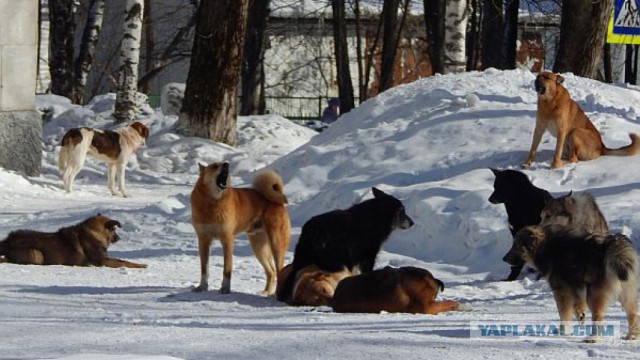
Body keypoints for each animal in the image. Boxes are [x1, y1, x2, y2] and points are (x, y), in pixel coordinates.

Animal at [0, 214, 146, 268]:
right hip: (36, 254)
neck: (95, 232)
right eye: (114, 230)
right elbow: (124, 262)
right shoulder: (103, 260)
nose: (119, 238)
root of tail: (8, 240)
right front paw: (141, 265)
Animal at [190, 162, 290, 294]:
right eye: (214, 166)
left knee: (279, 270)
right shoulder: (203, 240)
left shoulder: (227, 240)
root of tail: (277, 202)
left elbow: (227, 268)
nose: (227, 163)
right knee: (271, 271)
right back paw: (266, 292)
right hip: (258, 247)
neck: (212, 202)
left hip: (276, 244)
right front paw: (202, 287)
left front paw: (225, 288)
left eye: (223, 163)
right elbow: (204, 269)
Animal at [276, 187, 416, 302]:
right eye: (402, 211)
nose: (412, 223)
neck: (376, 217)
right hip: (340, 259)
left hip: (302, 258)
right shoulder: (367, 257)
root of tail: (313, 229)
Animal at [508, 225, 636, 340]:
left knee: (598, 317)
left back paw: (593, 338)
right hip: (625, 294)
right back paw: (632, 336)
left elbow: (563, 314)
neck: (545, 248)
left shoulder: (561, 291)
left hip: (593, 295)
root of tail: (612, 243)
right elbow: (577, 308)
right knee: (633, 314)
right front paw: (580, 319)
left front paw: (562, 331)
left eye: (516, 245)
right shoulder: (575, 288)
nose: (504, 258)